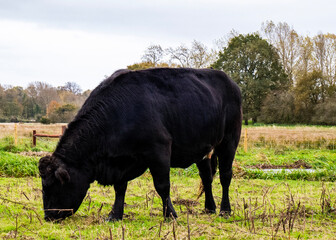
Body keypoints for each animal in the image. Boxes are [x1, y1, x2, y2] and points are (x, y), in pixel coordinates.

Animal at [38, 67, 242, 221]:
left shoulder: (159, 151)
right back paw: (209, 208)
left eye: (51, 187)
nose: (48, 216)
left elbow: (162, 186)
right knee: (206, 177)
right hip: (203, 149)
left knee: (225, 176)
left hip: (229, 140)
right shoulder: (120, 160)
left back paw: (225, 210)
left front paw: (170, 215)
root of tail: (230, 81)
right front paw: (115, 215)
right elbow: (120, 188)